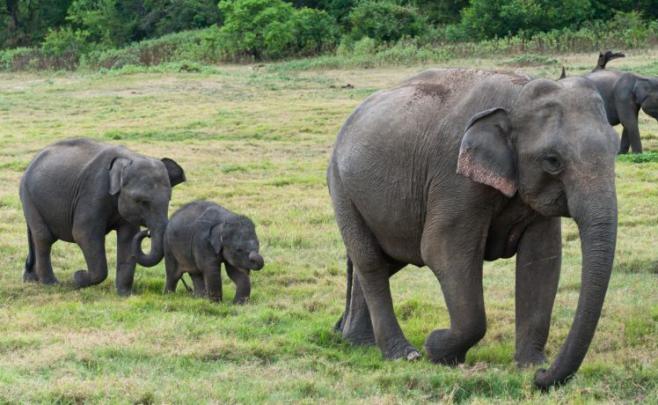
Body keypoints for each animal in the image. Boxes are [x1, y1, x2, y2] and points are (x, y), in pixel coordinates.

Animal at [20, 138, 186, 295]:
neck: (128, 158)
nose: (147, 233)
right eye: (141, 201)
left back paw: (31, 279)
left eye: (169, 200)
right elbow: (83, 233)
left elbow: (128, 238)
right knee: (44, 238)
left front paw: (125, 294)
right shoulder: (93, 191)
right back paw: (50, 283)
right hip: (29, 197)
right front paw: (78, 278)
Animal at [328, 69, 618, 390]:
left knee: (382, 261)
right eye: (552, 161)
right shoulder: (454, 178)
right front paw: (437, 348)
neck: (518, 94)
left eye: (616, 149)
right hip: (341, 187)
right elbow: (442, 250)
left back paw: (356, 341)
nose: (542, 377)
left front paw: (529, 364)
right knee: (371, 263)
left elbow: (541, 260)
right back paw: (403, 354)